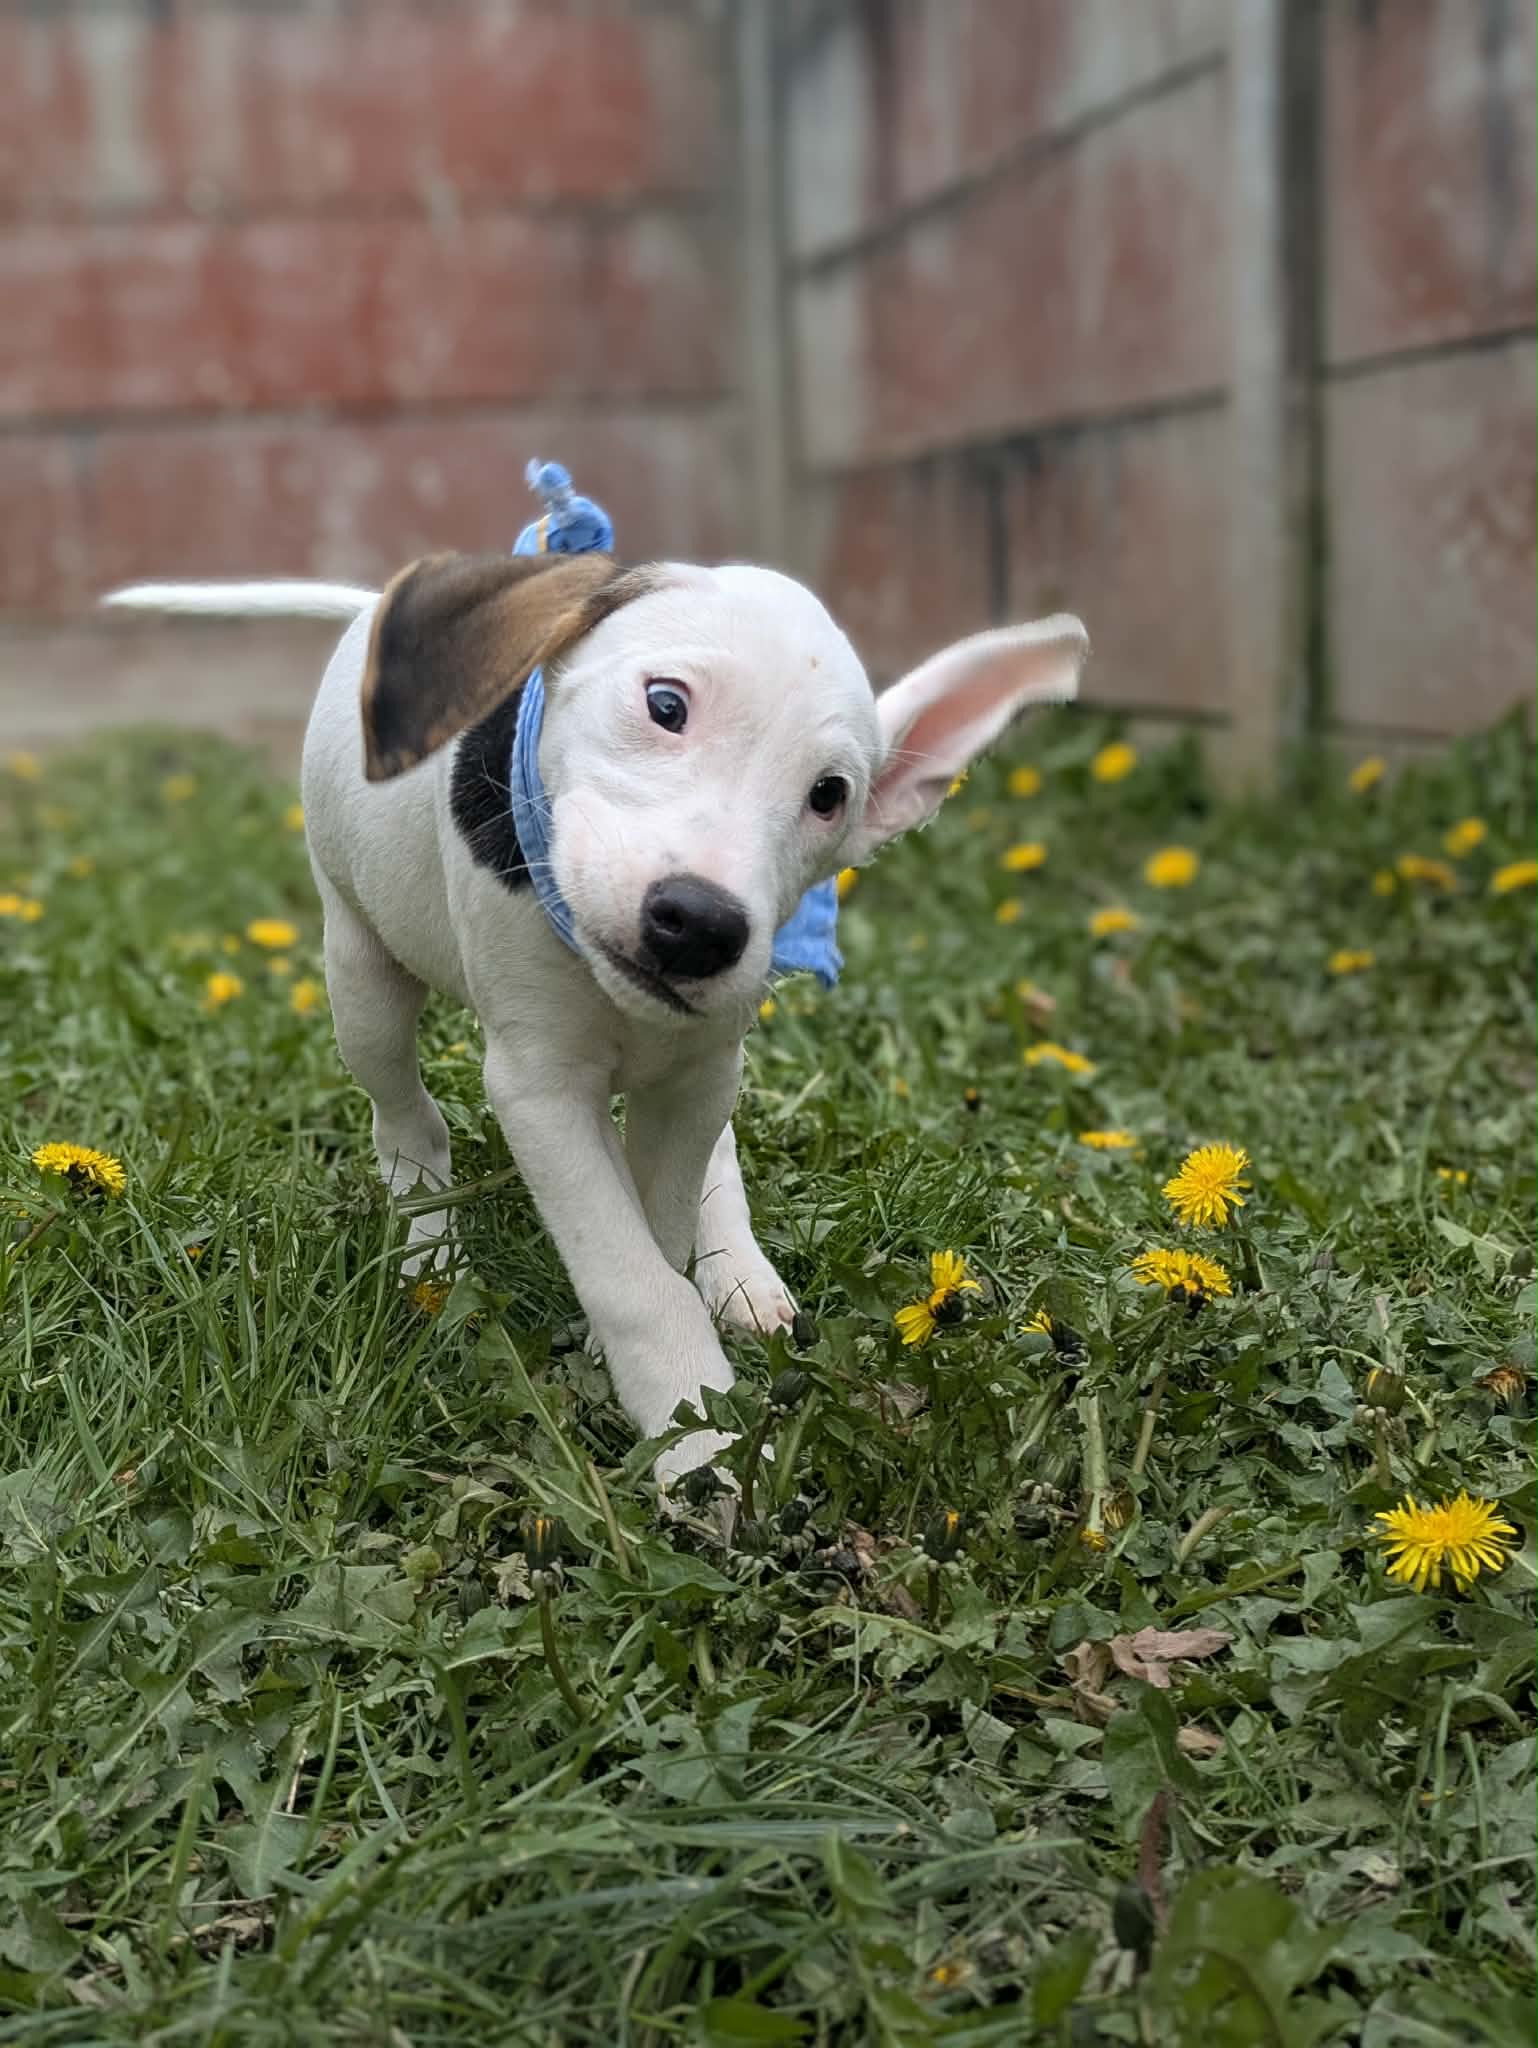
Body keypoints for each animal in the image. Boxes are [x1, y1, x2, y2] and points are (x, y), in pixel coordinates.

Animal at [106, 552, 1087, 1482]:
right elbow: (629, 1271)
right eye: (665, 704)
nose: (701, 924)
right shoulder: (541, 1089)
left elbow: (663, 1223)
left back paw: (739, 1270)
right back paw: (429, 1248)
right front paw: (698, 1442)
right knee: (405, 1115)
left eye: (830, 794)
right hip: (361, 972)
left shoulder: (696, 1071)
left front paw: (697, 1354)